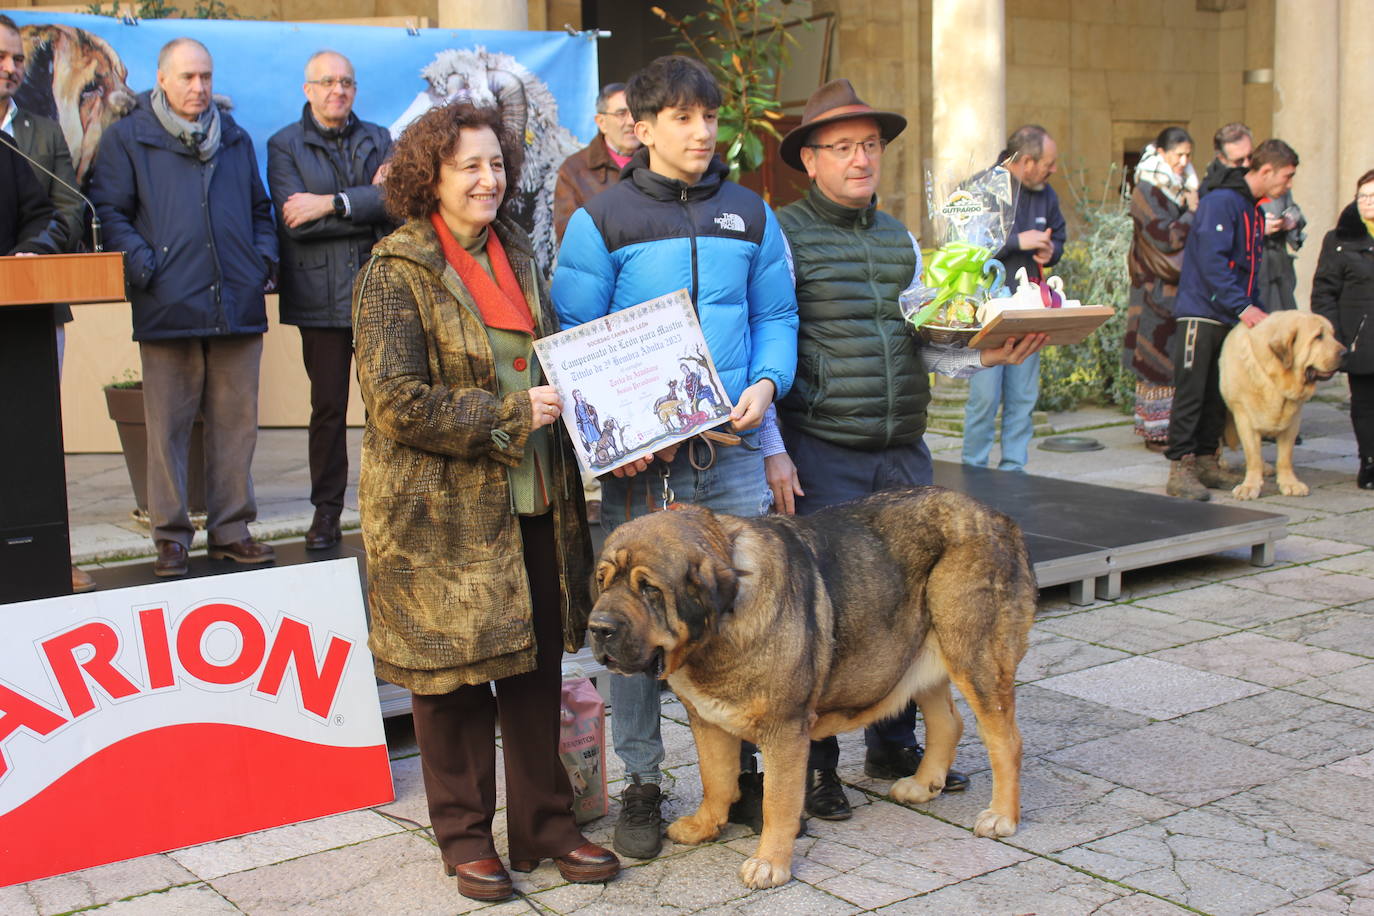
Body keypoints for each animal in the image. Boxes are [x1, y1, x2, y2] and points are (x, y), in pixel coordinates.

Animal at [585, 491, 1033, 889]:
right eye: (602, 582)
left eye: (649, 589)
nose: (598, 628)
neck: (717, 632)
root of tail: (999, 518)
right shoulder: (706, 718)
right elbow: (716, 778)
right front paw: (704, 826)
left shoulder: (784, 729)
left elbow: (777, 801)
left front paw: (769, 864)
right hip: (918, 655)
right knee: (948, 722)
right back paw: (922, 785)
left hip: (973, 656)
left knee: (1006, 740)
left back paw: (1001, 817)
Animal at [1225, 310, 1341, 502]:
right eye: (1318, 336)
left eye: (1333, 335)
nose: (1346, 352)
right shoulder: (1245, 417)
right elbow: (1252, 455)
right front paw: (1250, 486)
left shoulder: (1292, 419)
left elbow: (1285, 457)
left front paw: (1290, 483)